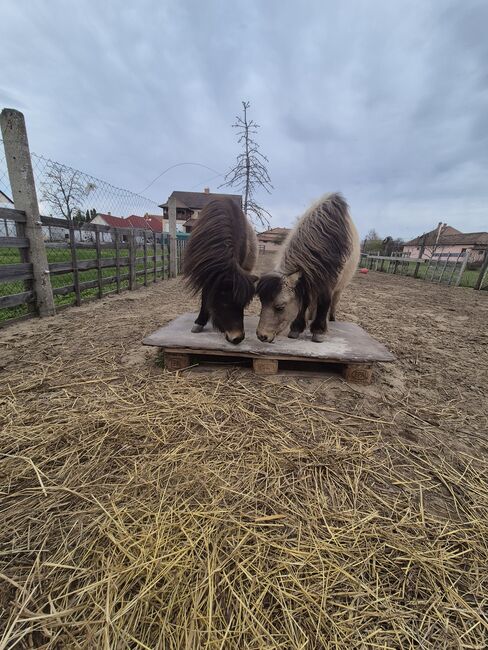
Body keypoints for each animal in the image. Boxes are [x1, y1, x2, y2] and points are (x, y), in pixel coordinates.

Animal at [183, 197, 258, 345]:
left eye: (243, 305)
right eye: (224, 302)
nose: (238, 338)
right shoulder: (207, 275)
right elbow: (206, 295)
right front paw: (199, 322)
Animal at [256, 192, 360, 343]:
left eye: (280, 307)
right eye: (262, 302)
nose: (261, 336)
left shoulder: (328, 283)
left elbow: (324, 302)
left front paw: (318, 331)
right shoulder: (306, 281)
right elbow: (304, 303)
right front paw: (296, 328)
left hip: (339, 288)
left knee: (333, 302)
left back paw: (331, 319)